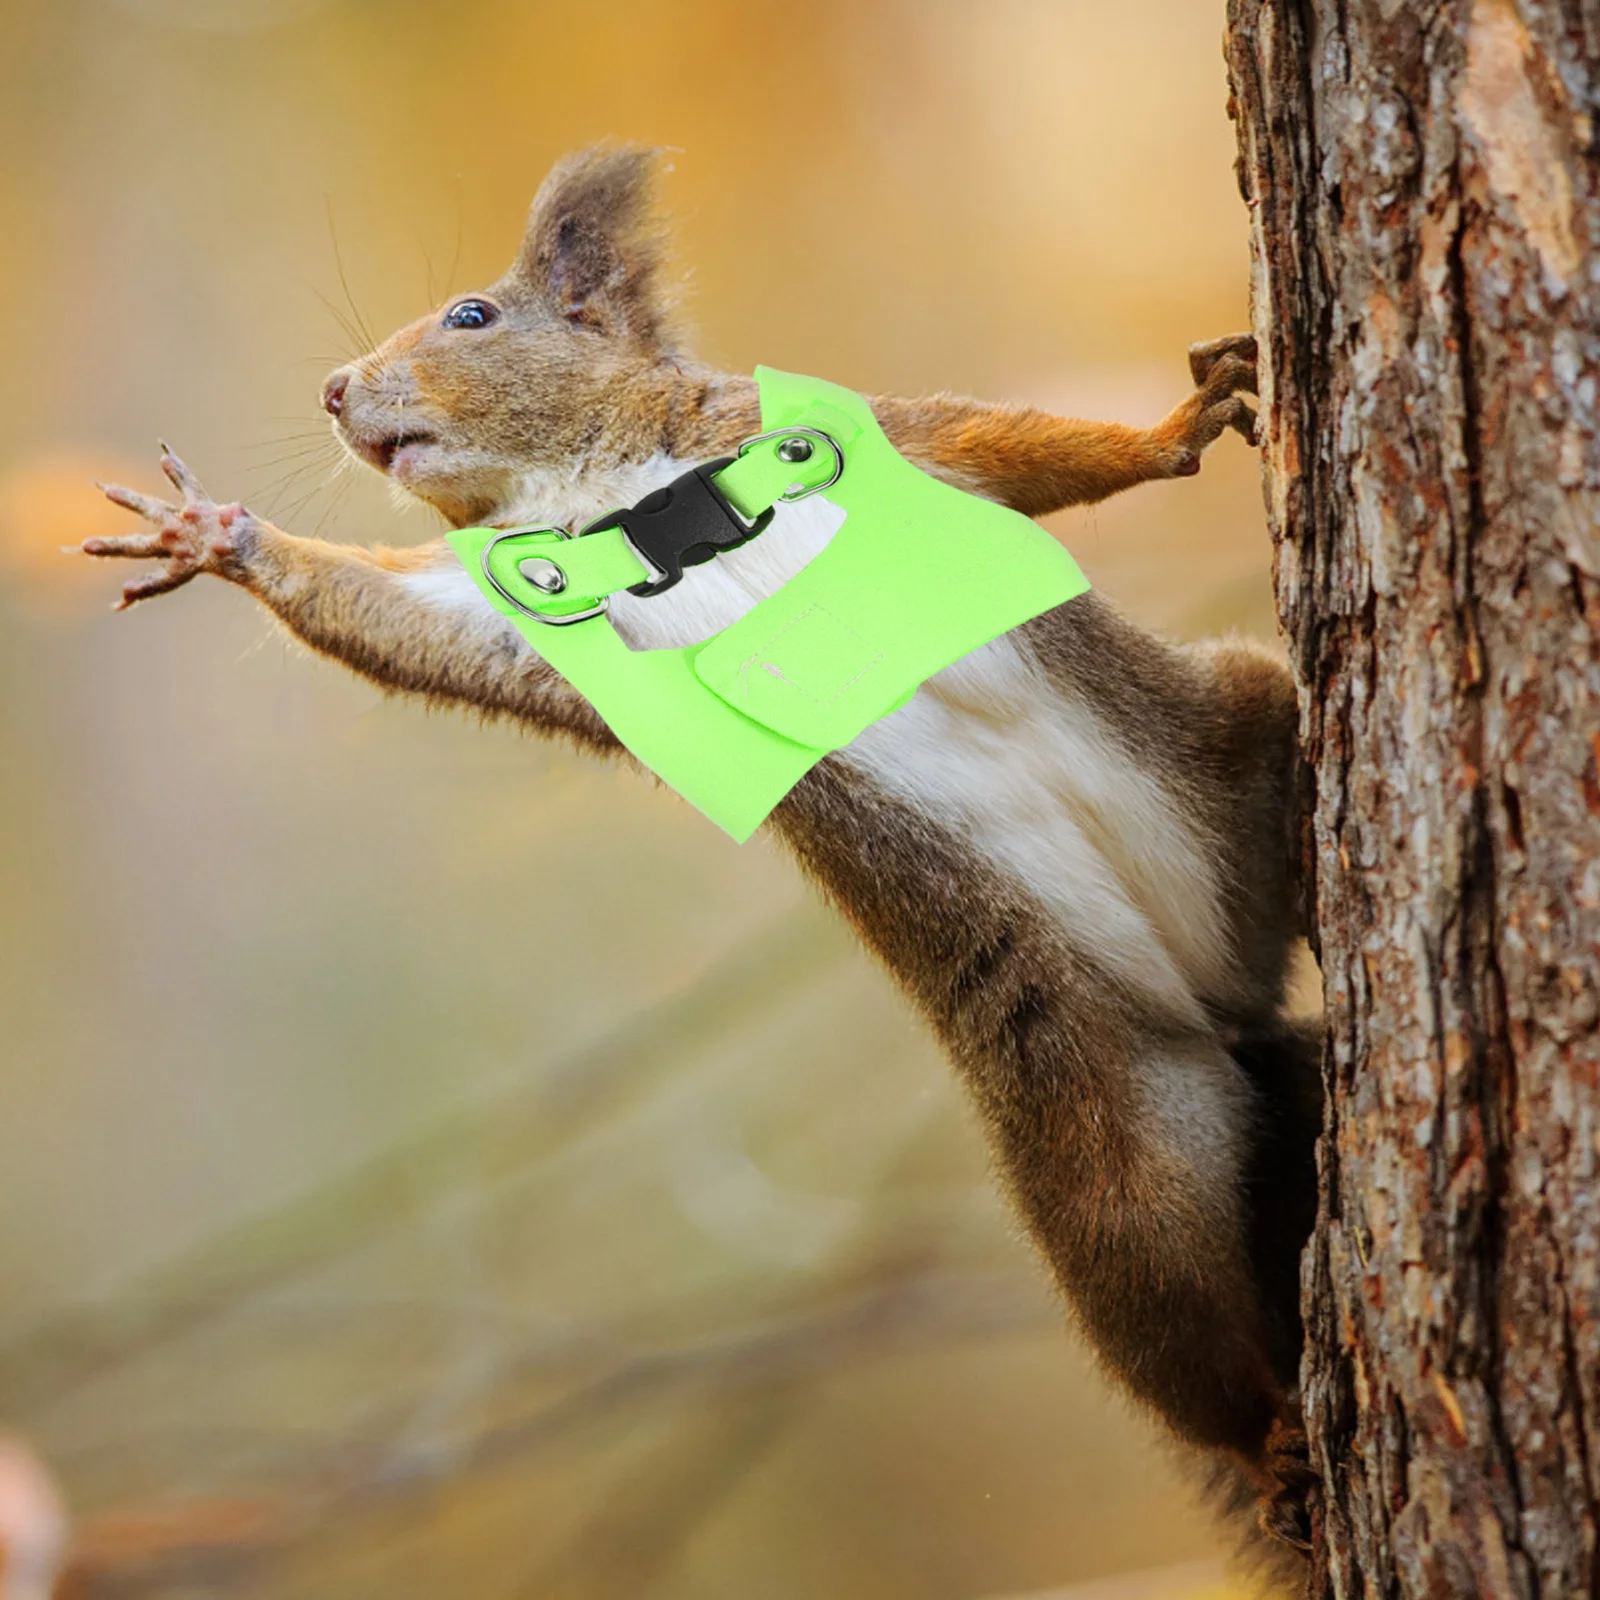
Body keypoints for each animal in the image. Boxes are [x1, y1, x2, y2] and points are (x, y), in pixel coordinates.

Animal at [82, 147, 1322, 1553]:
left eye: (471, 315)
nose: (336, 389)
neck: (619, 502)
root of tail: (1223, 1004)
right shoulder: (523, 622)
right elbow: (397, 619)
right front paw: (219, 538)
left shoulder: (854, 439)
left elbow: (1005, 448)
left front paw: (1174, 426)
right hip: (1109, 1138)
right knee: (1173, 1322)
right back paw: (1270, 1439)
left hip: (1228, 731)